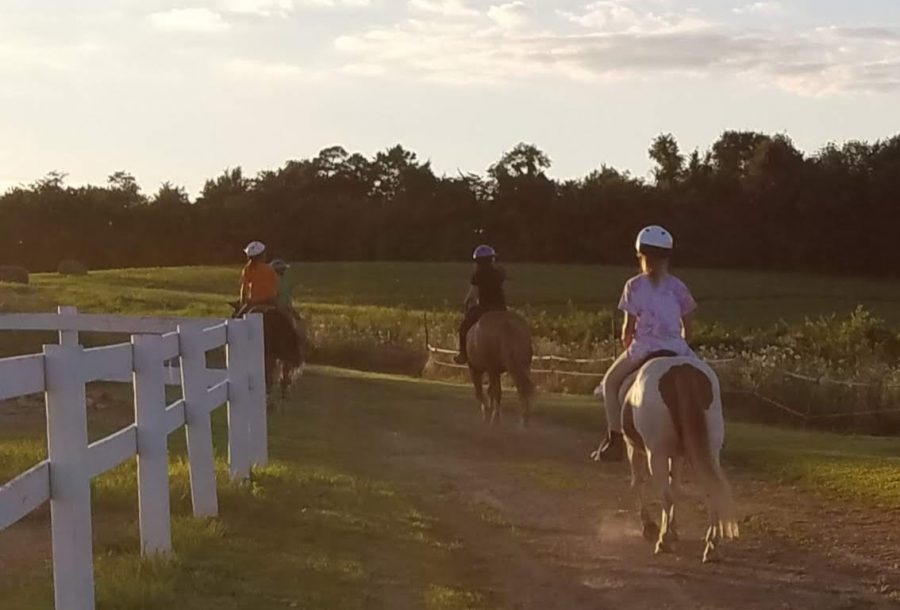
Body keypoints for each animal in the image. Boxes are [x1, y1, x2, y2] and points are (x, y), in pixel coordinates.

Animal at [620, 352, 740, 560]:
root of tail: (681, 370)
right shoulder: (677, 456)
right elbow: (675, 487)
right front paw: (672, 529)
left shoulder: (634, 450)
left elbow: (639, 483)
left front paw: (651, 528)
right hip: (708, 452)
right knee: (709, 490)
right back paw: (711, 546)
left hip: (656, 454)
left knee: (665, 494)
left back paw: (664, 541)